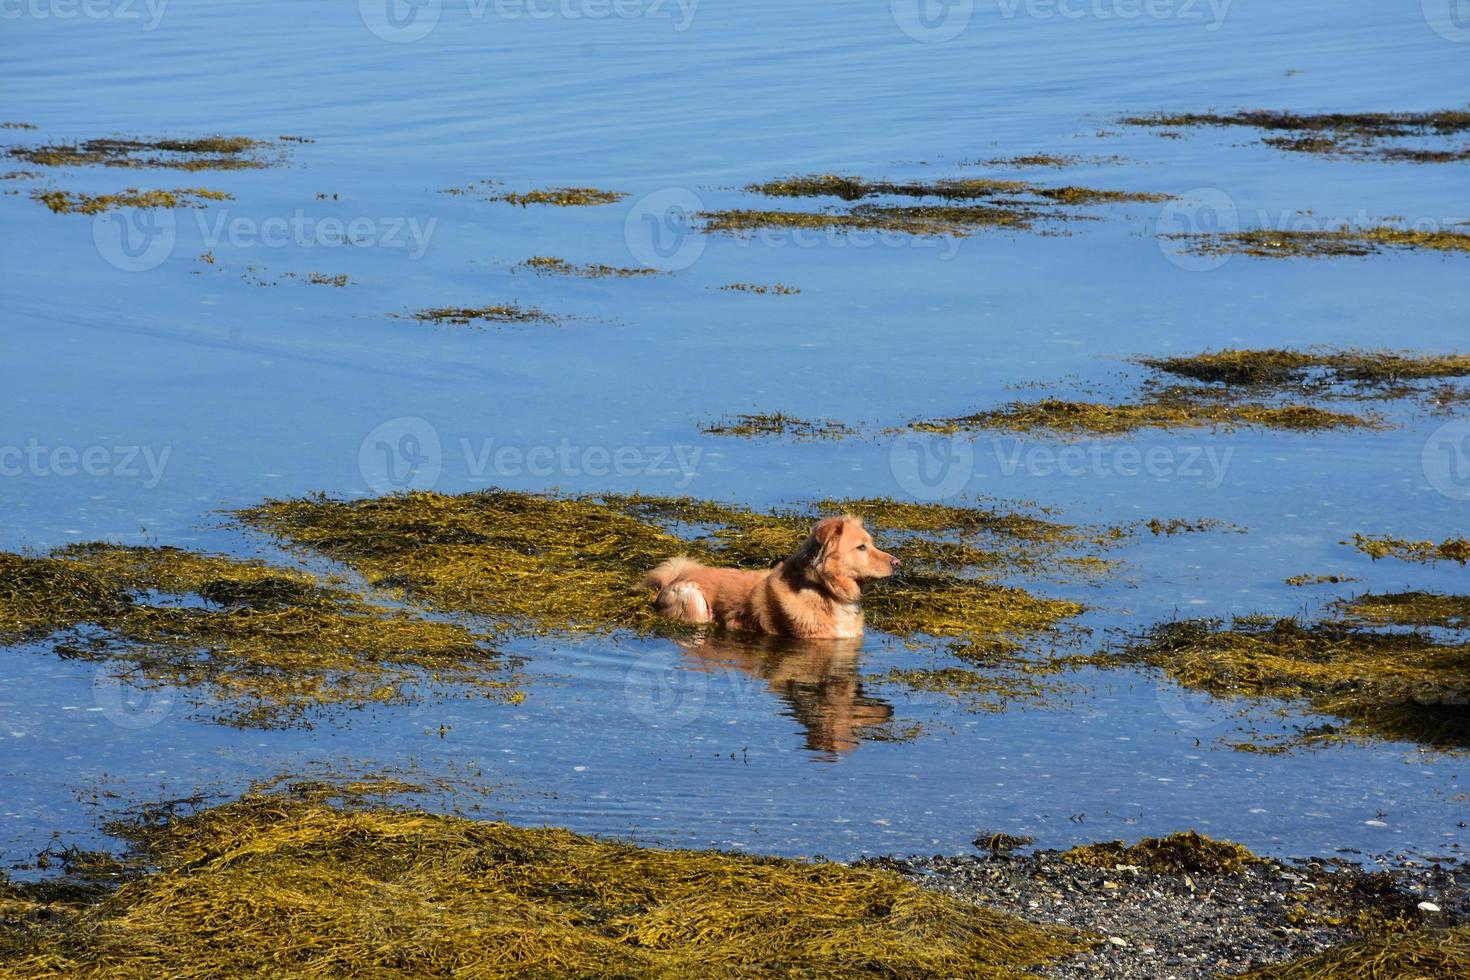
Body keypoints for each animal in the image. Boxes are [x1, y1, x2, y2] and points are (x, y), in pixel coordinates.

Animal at [640, 517, 893, 640]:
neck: (825, 590)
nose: (897, 563)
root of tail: (673, 579)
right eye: (861, 547)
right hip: (694, 601)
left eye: (871, 544)